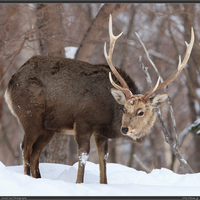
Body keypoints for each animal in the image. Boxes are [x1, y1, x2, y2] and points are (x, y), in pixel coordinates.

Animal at [4, 14, 194, 184]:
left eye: (141, 112)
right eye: (124, 108)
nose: (125, 128)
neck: (109, 116)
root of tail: (10, 83)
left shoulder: (100, 132)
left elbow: (104, 158)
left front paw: (103, 184)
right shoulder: (83, 121)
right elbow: (83, 156)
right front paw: (79, 183)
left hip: (48, 127)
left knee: (35, 151)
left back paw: (37, 178)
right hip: (29, 114)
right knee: (26, 147)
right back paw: (27, 178)